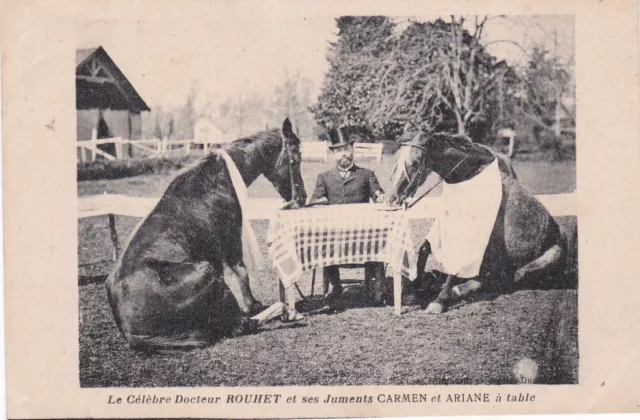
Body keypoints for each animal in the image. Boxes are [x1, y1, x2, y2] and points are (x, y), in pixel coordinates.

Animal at [105, 119, 308, 352]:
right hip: (207, 269)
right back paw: (285, 310)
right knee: (242, 325)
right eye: (296, 157)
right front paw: (253, 304)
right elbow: (241, 273)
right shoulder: (230, 238)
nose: (302, 197)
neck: (219, 179)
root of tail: (130, 333)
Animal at [390, 133, 564, 314]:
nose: (394, 197)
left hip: (535, 263)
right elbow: (425, 249)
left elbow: (455, 263)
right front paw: (415, 290)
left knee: (505, 279)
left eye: (415, 162)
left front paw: (439, 301)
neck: (468, 178)